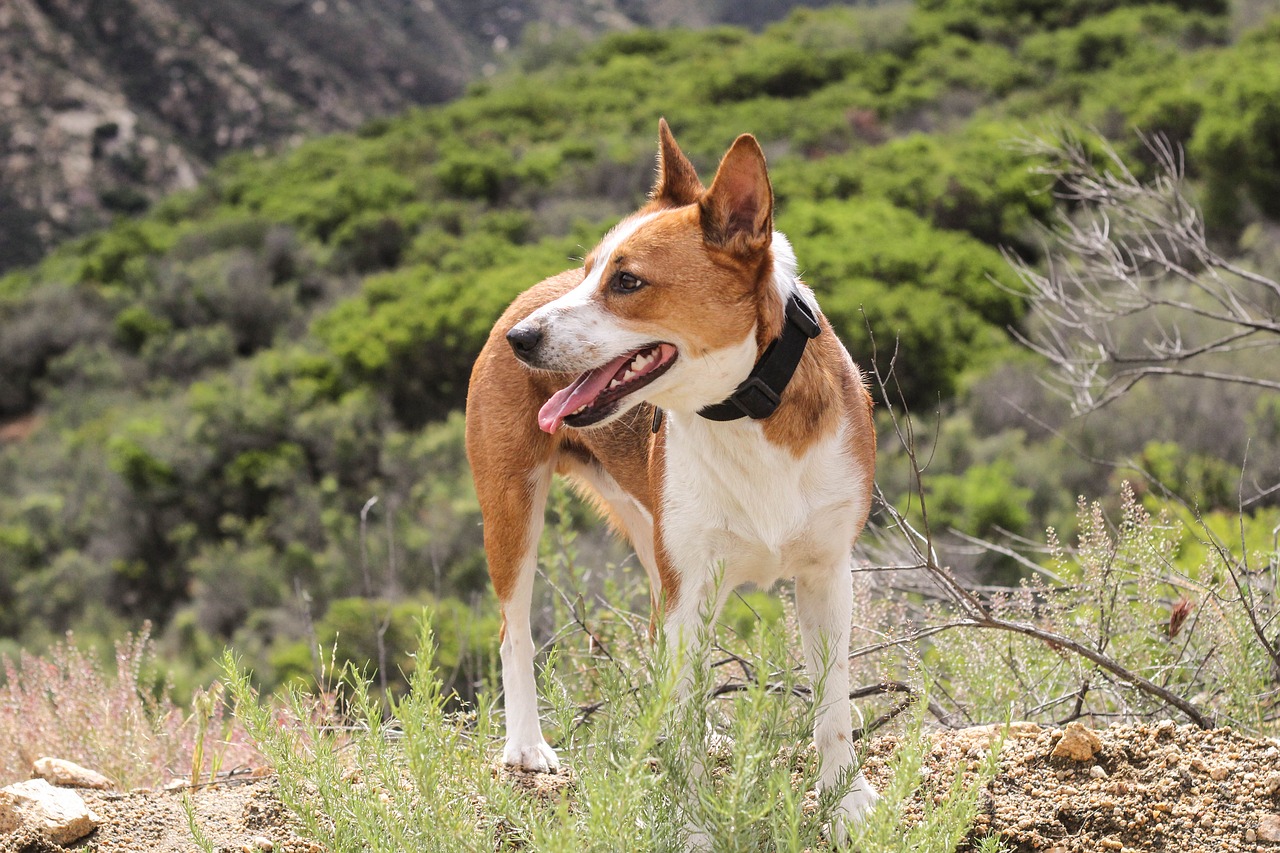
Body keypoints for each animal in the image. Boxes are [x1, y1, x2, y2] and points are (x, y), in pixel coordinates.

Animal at [468, 117, 880, 829]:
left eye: (627, 281)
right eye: (589, 272)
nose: (523, 340)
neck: (745, 408)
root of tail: (522, 296)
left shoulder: (826, 575)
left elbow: (831, 703)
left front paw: (845, 798)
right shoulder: (691, 587)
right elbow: (682, 722)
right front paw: (693, 823)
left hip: (650, 540)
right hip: (512, 511)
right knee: (512, 630)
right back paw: (526, 746)